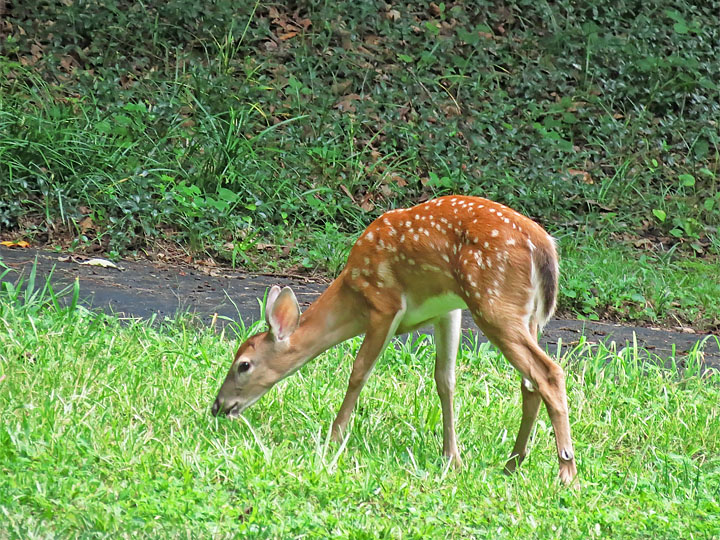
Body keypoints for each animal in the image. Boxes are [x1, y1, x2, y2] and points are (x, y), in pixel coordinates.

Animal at [211, 196, 576, 484]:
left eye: (243, 365)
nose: (218, 406)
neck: (352, 293)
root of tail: (545, 247)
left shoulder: (384, 304)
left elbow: (359, 372)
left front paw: (334, 438)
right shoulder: (448, 310)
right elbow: (445, 380)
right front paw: (452, 458)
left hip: (493, 301)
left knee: (548, 373)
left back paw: (566, 472)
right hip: (525, 315)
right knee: (529, 383)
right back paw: (512, 463)